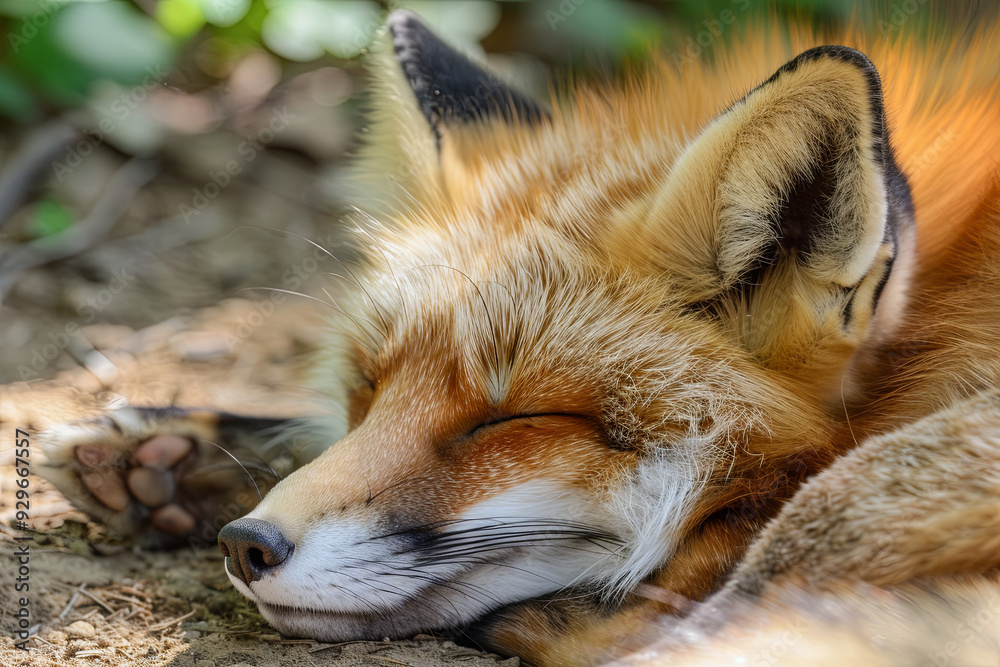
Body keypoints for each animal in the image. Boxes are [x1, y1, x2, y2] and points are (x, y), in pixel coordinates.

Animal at [35, 8, 1000, 666]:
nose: (246, 544)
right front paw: (173, 449)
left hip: (878, 481)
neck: (940, 319)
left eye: (512, 420)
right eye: (366, 389)